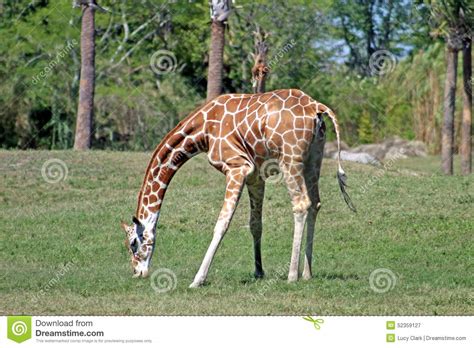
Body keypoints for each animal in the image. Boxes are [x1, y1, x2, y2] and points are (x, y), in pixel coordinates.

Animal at [120, 88, 354, 286]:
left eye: (133, 243)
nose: (138, 272)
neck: (203, 131)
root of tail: (316, 107)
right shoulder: (255, 176)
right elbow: (255, 224)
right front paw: (259, 271)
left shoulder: (237, 167)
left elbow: (222, 223)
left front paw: (198, 279)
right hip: (314, 157)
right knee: (315, 203)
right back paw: (307, 273)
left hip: (291, 158)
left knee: (301, 204)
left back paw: (291, 275)